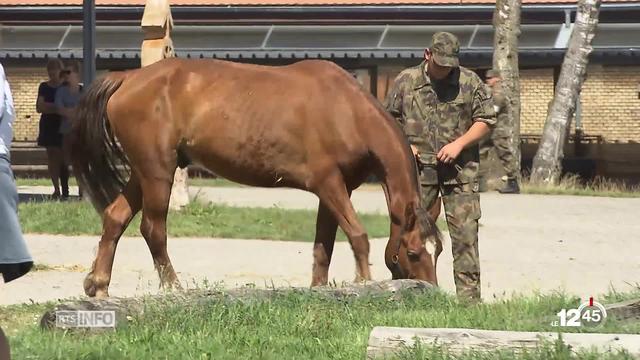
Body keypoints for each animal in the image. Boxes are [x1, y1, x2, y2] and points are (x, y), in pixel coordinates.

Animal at [69, 57, 440, 298]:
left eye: (438, 252)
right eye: (413, 252)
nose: (432, 292)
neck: (347, 110)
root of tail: (128, 77)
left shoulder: (335, 190)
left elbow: (324, 246)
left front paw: (319, 291)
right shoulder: (329, 184)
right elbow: (358, 236)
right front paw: (364, 284)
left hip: (144, 172)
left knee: (115, 218)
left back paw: (98, 284)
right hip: (157, 172)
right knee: (153, 229)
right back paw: (173, 287)